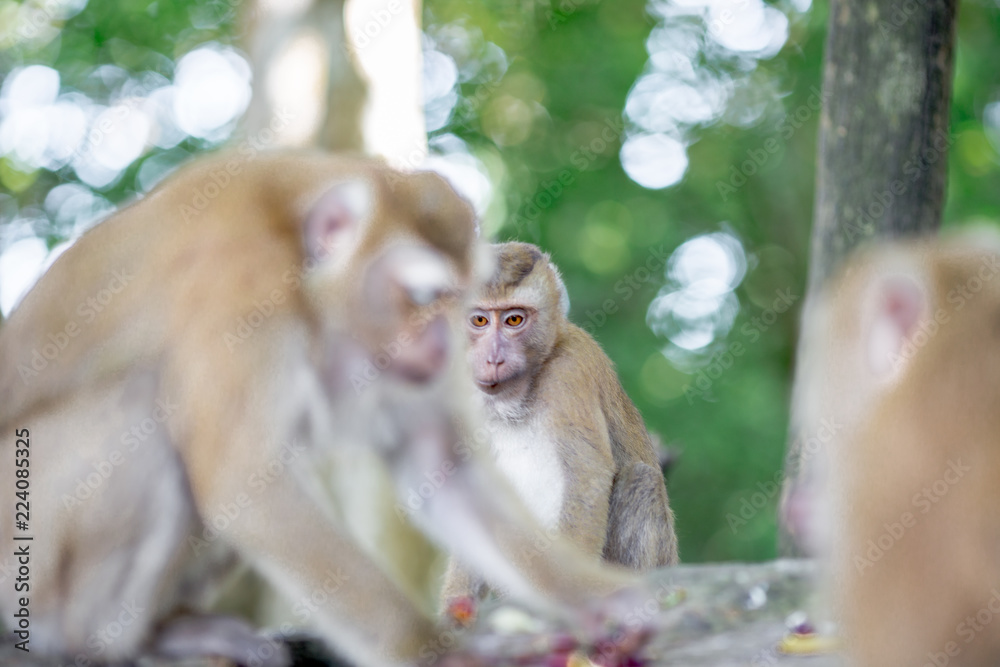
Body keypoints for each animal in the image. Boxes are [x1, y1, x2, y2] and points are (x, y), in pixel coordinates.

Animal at [0, 153, 643, 667]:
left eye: (460, 301)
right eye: (424, 296)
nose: (448, 347)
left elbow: (442, 468)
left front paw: (598, 599)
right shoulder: (240, 285)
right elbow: (243, 477)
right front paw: (435, 655)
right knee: (144, 405)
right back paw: (104, 641)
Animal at [441, 241, 678, 622]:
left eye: (514, 319)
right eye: (479, 320)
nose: (493, 358)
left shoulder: (571, 370)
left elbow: (587, 476)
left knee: (640, 479)